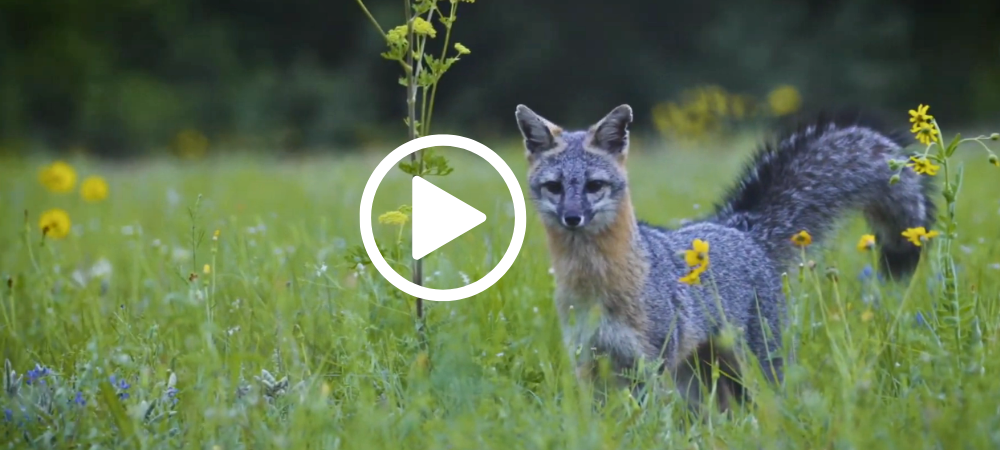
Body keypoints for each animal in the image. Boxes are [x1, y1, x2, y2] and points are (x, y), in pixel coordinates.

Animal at [514, 103, 936, 414]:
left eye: (593, 186)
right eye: (554, 188)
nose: (572, 217)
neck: (596, 281)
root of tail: (741, 227)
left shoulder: (650, 363)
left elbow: (645, 419)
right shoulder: (589, 361)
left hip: (756, 364)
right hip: (702, 379)